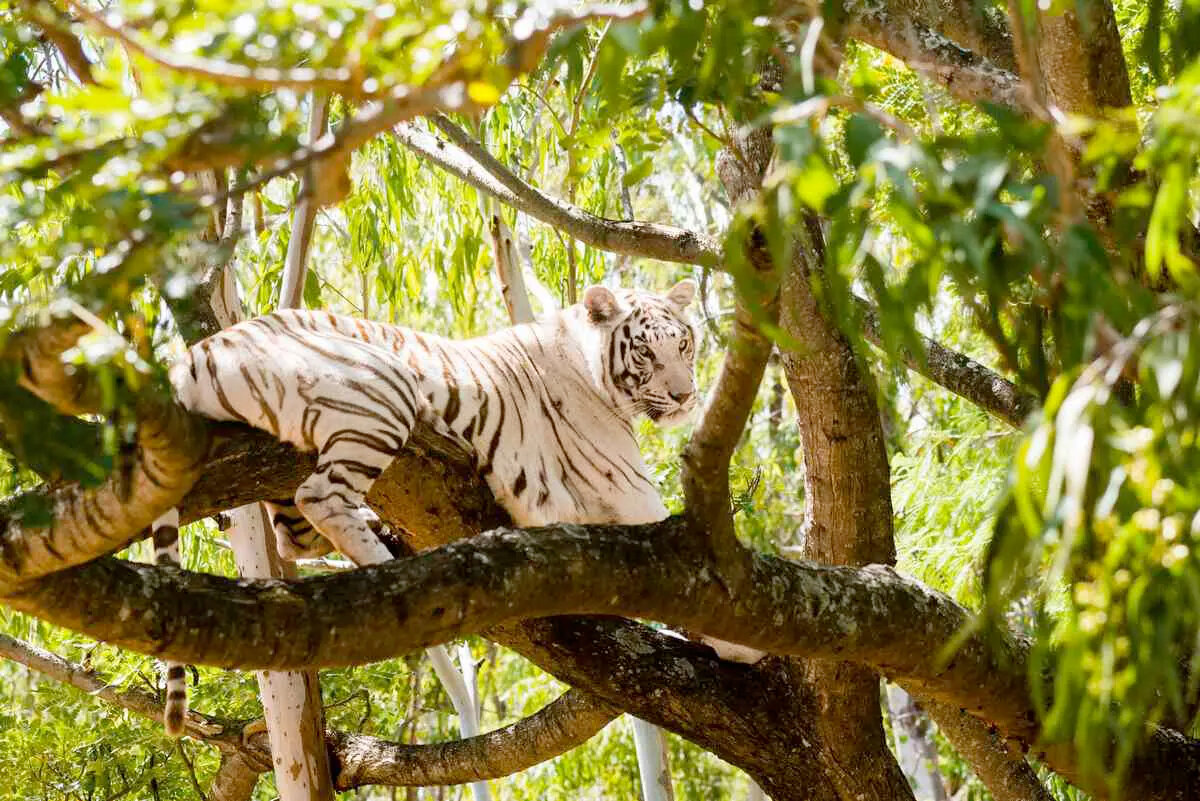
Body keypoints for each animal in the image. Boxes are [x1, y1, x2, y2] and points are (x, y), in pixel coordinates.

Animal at [156, 278, 705, 733]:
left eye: (683, 345)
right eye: (645, 353)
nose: (685, 396)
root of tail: (198, 352)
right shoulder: (632, 494)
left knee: (293, 535)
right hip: (383, 390)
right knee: (319, 496)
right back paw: (388, 572)